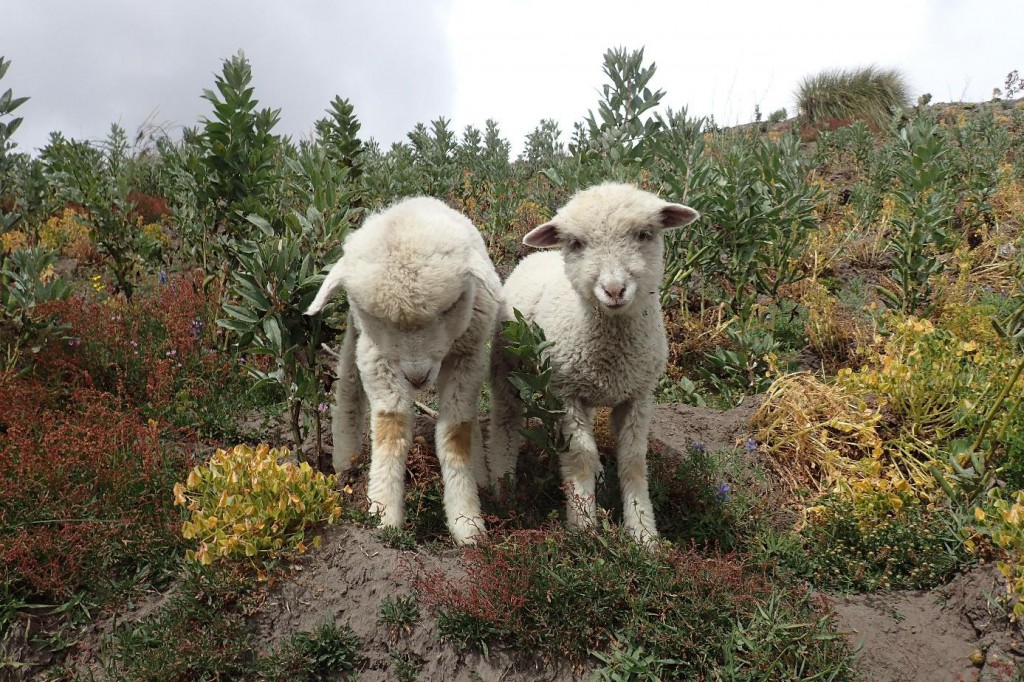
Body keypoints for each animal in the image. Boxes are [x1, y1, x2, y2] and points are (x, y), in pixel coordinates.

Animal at [307, 193, 503, 544]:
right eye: (378, 319)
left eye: (449, 309)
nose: (416, 377)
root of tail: (410, 203)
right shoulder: (378, 359)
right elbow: (391, 427)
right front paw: (383, 514)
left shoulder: (467, 357)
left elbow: (456, 433)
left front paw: (467, 522)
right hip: (358, 339)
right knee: (348, 385)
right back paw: (344, 461)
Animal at [485, 180, 696, 540]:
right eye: (576, 243)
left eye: (643, 234)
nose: (614, 290)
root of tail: (538, 256)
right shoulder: (565, 394)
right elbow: (579, 455)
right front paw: (583, 525)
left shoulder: (638, 395)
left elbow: (633, 461)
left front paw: (643, 533)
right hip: (509, 370)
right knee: (506, 423)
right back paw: (504, 487)